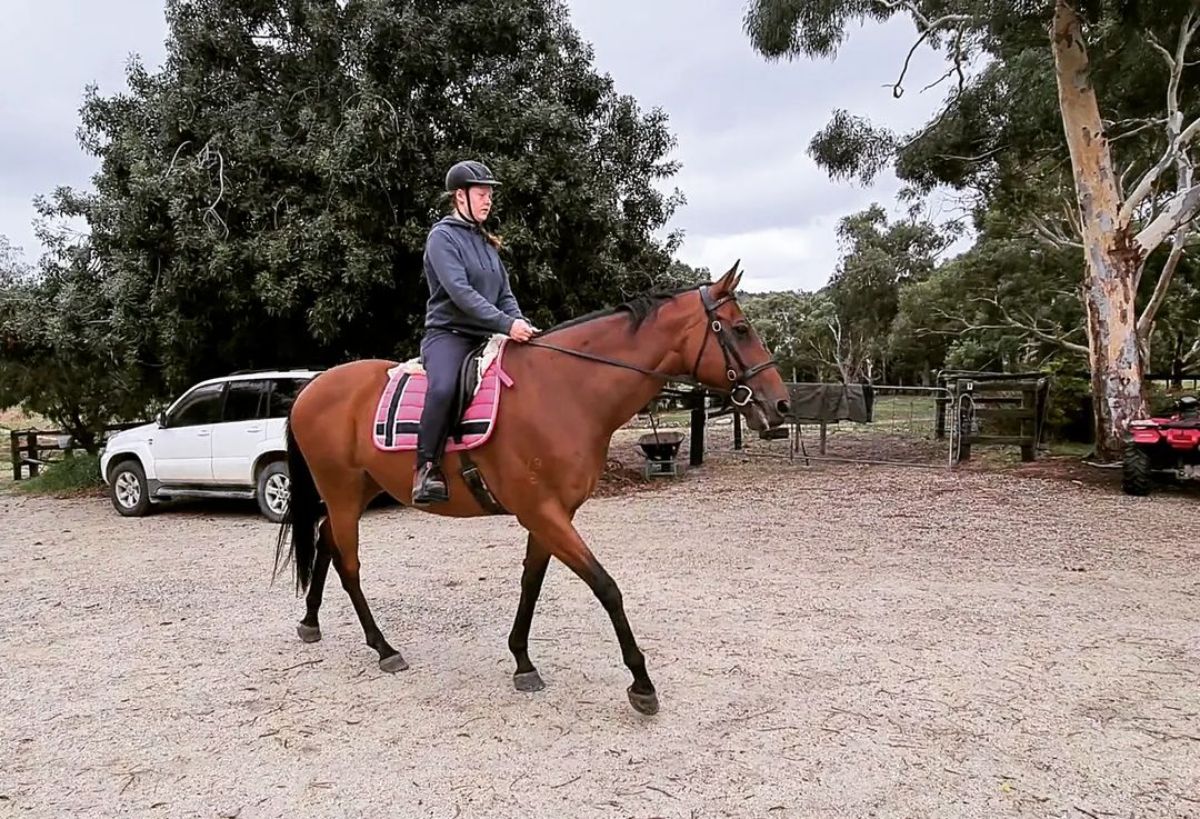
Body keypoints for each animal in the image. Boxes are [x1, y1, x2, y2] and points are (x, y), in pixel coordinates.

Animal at [274, 261, 792, 715]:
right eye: (740, 329)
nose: (781, 405)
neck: (564, 390)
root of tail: (310, 389)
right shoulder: (542, 512)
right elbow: (606, 587)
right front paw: (641, 683)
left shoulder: (550, 514)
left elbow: (532, 582)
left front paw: (522, 661)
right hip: (343, 493)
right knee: (349, 564)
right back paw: (383, 647)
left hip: (358, 492)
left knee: (325, 539)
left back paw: (310, 621)